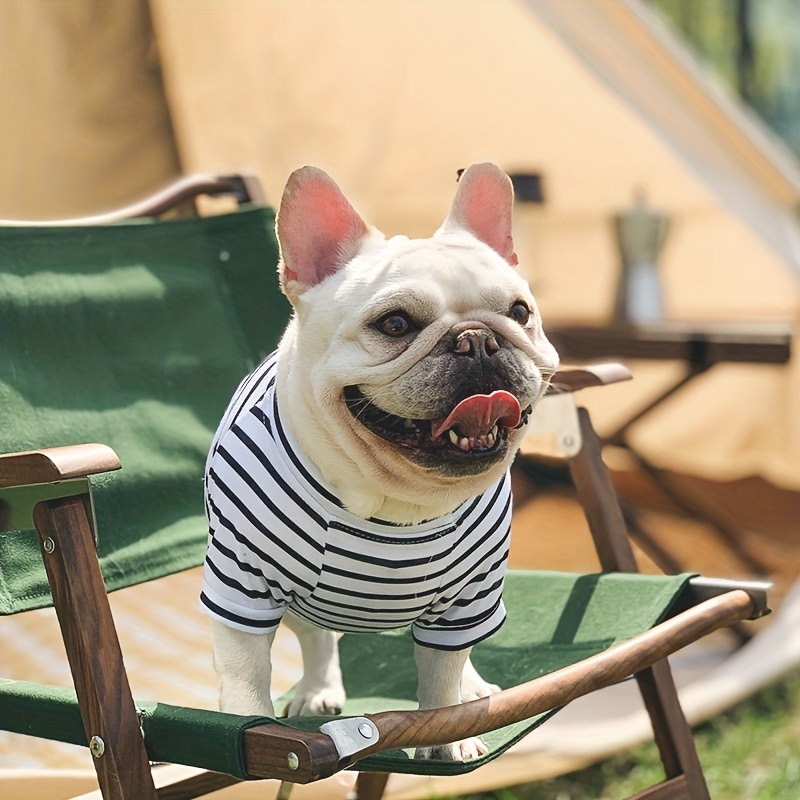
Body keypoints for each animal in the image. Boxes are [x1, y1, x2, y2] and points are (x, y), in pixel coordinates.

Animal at [203, 162, 560, 756]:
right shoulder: (241, 584)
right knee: (316, 636)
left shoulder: (469, 598)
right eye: (395, 325)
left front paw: (447, 734)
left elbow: (441, 674)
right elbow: (246, 675)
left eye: (519, 312)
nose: (477, 339)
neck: (396, 498)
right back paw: (317, 689)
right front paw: (244, 731)